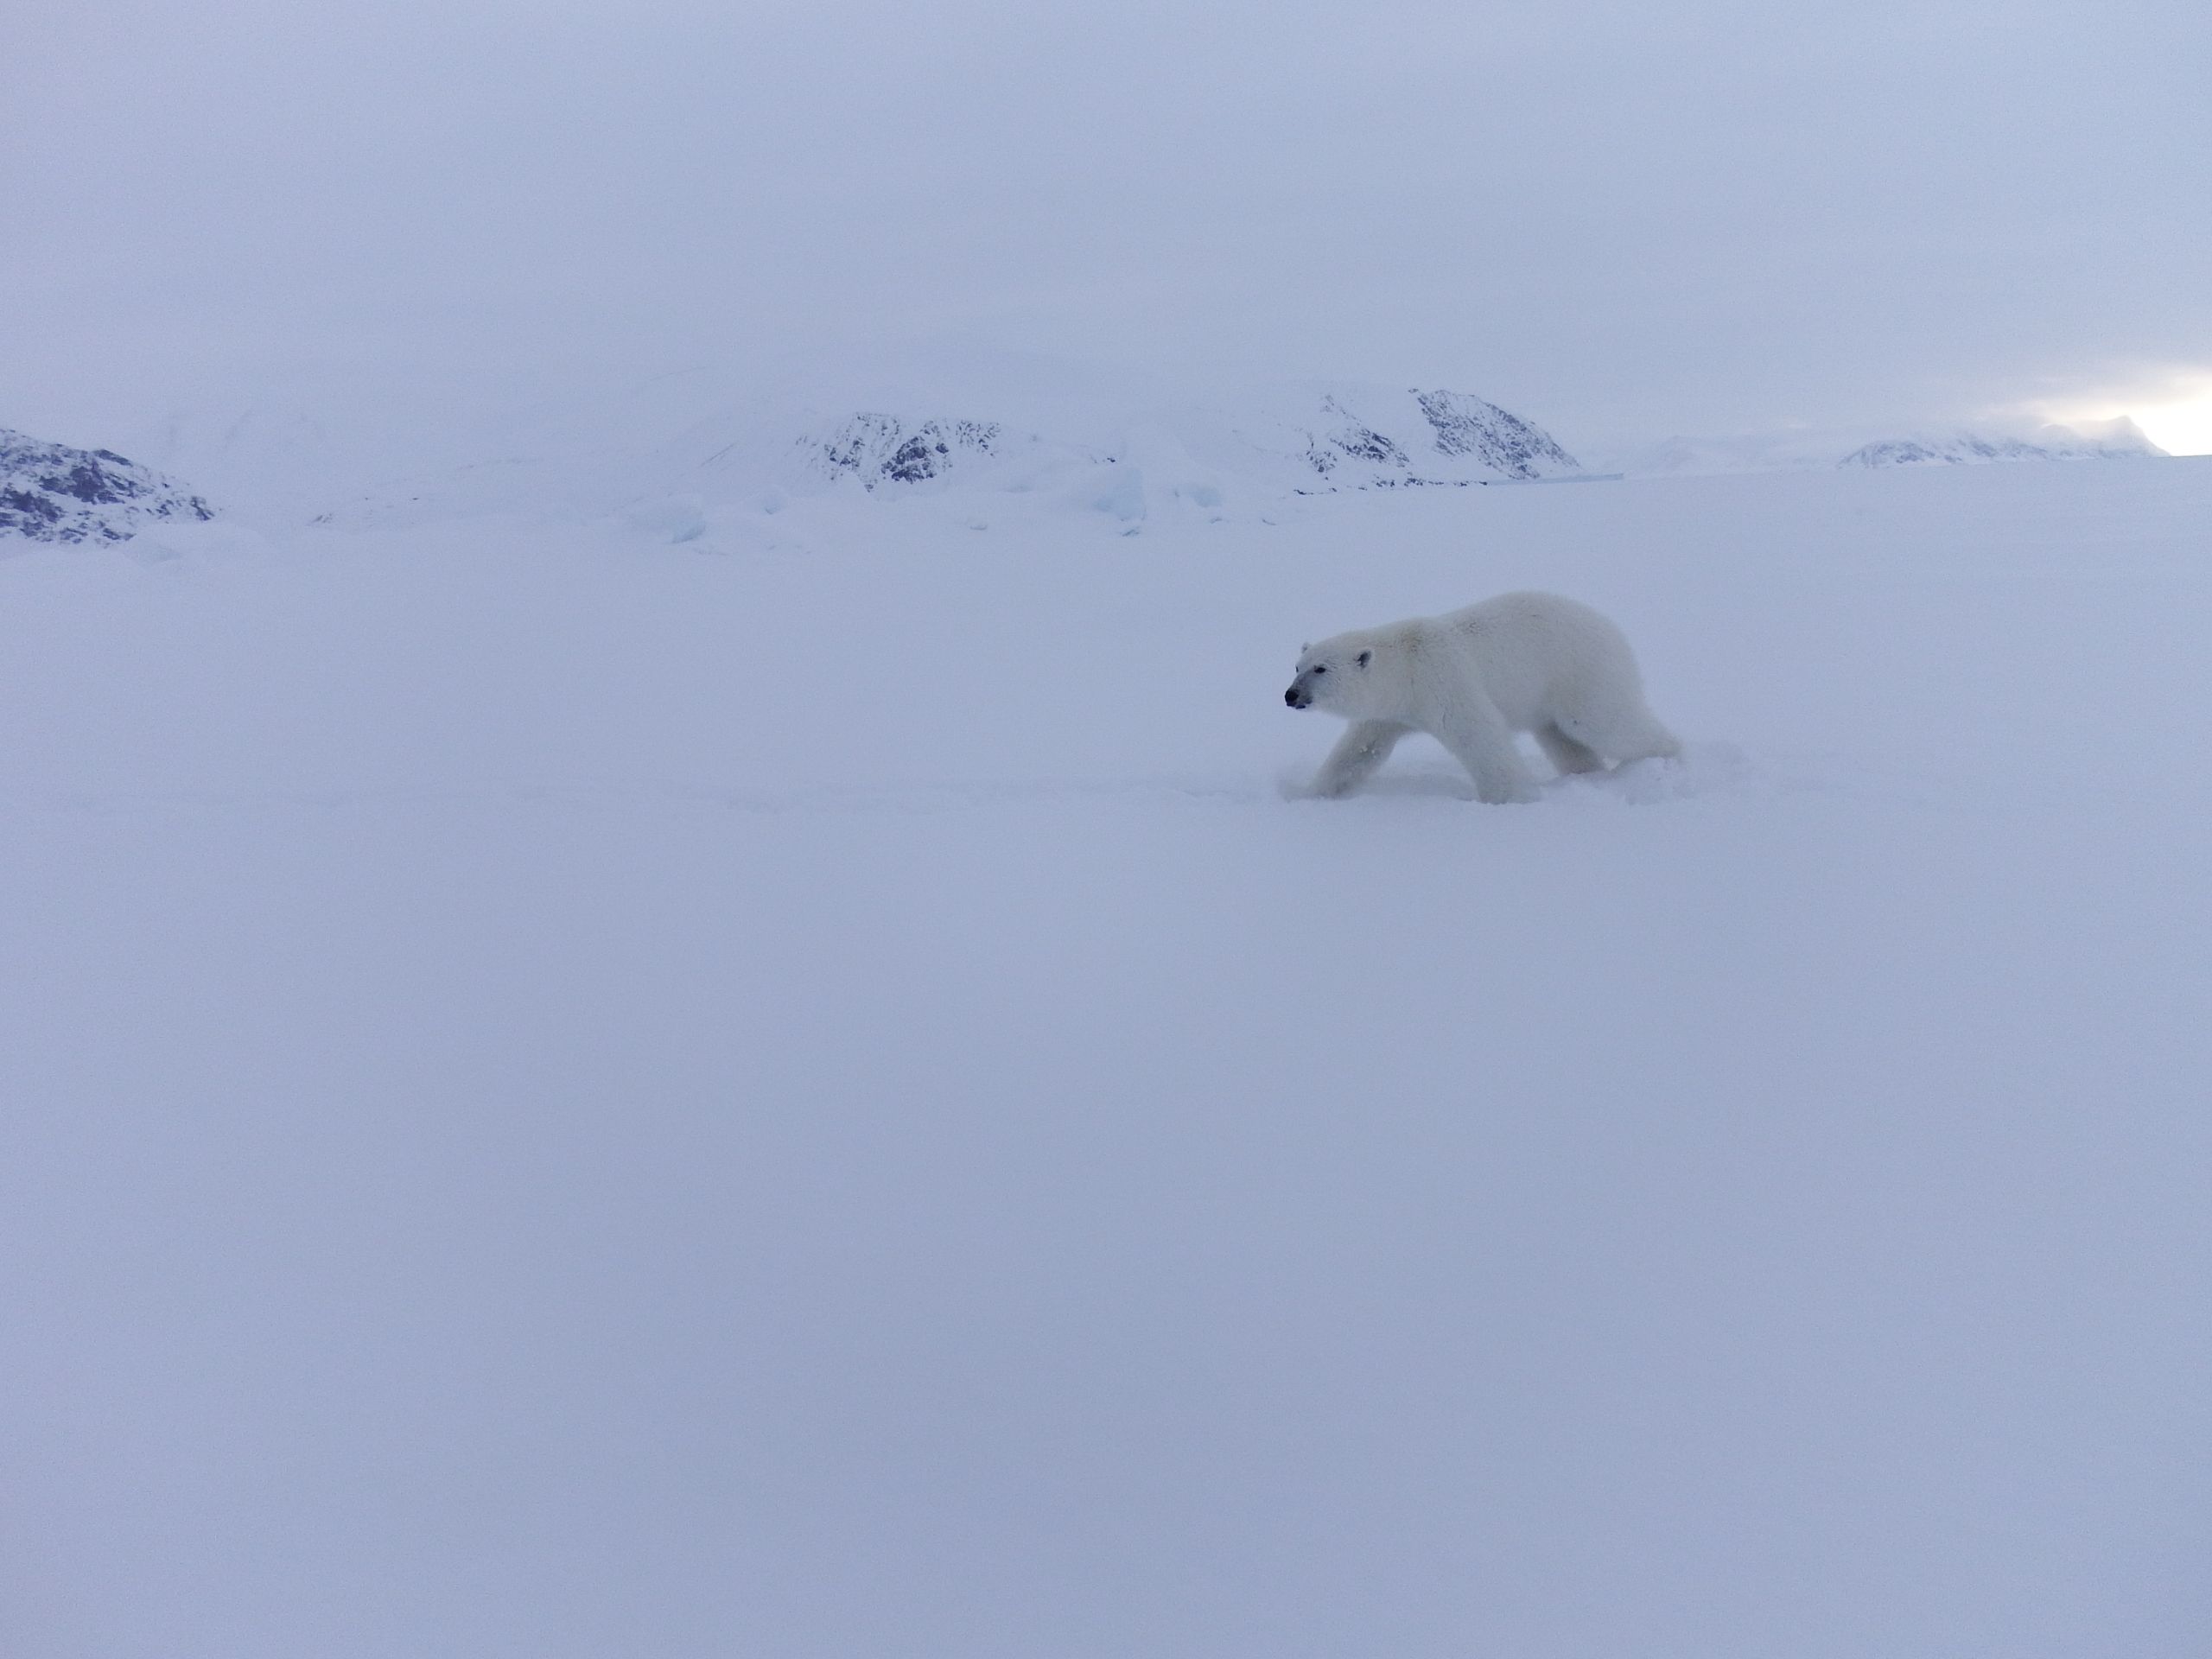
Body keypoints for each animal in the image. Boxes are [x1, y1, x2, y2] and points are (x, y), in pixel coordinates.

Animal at [1284, 591, 1680, 804]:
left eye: (1321, 669)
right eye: (1297, 665)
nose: (1290, 695)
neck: (1405, 664)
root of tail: (1609, 626)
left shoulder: (1442, 679)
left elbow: (1477, 735)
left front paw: (1511, 797)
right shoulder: (1391, 710)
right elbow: (1359, 750)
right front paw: (1311, 793)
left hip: (1579, 671)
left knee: (1603, 721)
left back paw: (1664, 760)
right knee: (1562, 738)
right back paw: (1587, 775)